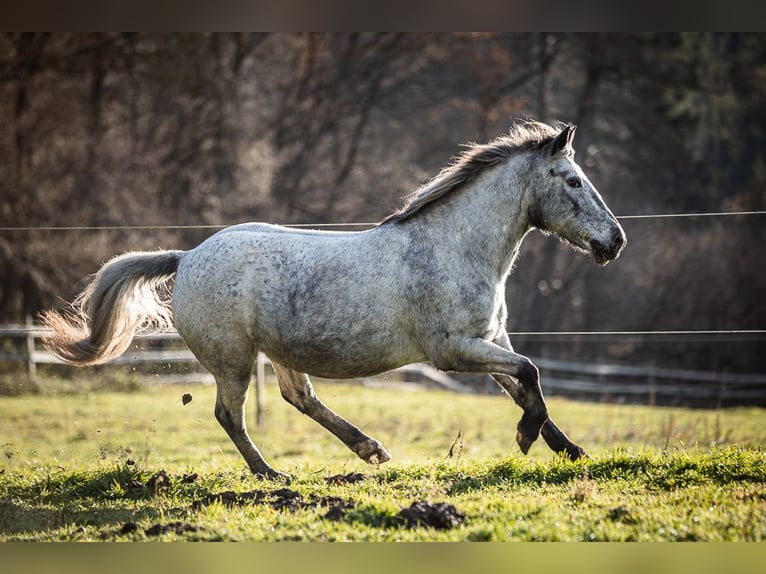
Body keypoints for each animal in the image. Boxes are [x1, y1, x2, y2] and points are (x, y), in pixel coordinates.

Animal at [42, 120, 628, 482]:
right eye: (573, 181)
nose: (615, 241)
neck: (454, 247)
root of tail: (186, 257)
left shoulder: (488, 340)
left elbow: (526, 386)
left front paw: (571, 451)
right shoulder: (454, 350)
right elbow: (530, 374)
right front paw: (528, 440)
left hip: (278, 352)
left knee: (298, 397)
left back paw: (370, 450)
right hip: (233, 359)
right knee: (230, 415)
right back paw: (272, 473)